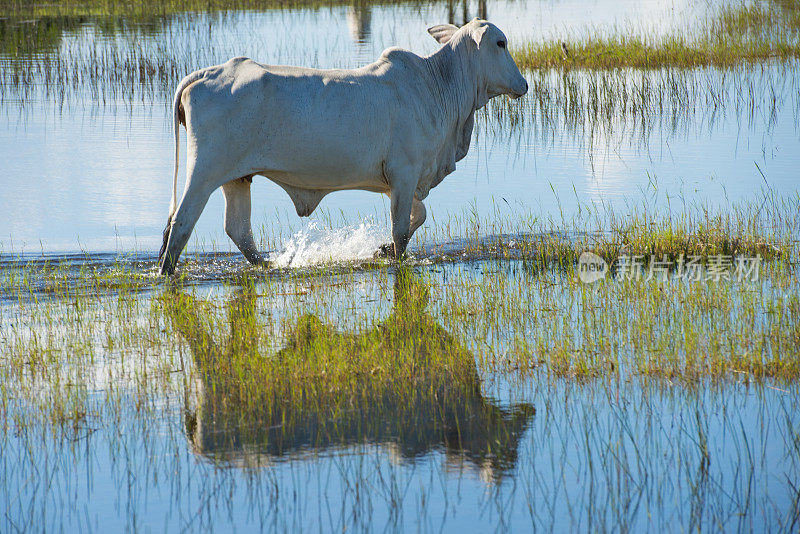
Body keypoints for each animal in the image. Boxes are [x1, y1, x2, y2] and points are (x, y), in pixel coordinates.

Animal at [159, 17, 528, 276]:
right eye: (500, 42)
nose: (523, 84)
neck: (438, 85)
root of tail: (206, 73)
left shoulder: (395, 181)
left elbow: (418, 215)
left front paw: (382, 250)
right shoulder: (405, 173)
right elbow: (401, 230)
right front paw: (393, 255)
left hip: (237, 177)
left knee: (238, 230)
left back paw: (270, 265)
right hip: (204, 172)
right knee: (181, 224)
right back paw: (166, 273)